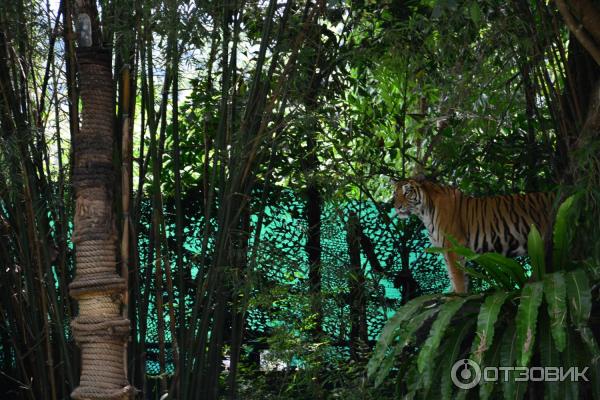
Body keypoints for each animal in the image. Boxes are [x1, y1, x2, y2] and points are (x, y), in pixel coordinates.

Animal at [392, 180, 556, 292]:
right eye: (395, 194)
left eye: (407, 192)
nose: (397, 207)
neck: (424, 213)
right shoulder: (445, 249)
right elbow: (454, 274)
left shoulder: (453, 245)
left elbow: (457, 275)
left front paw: (457, 297)